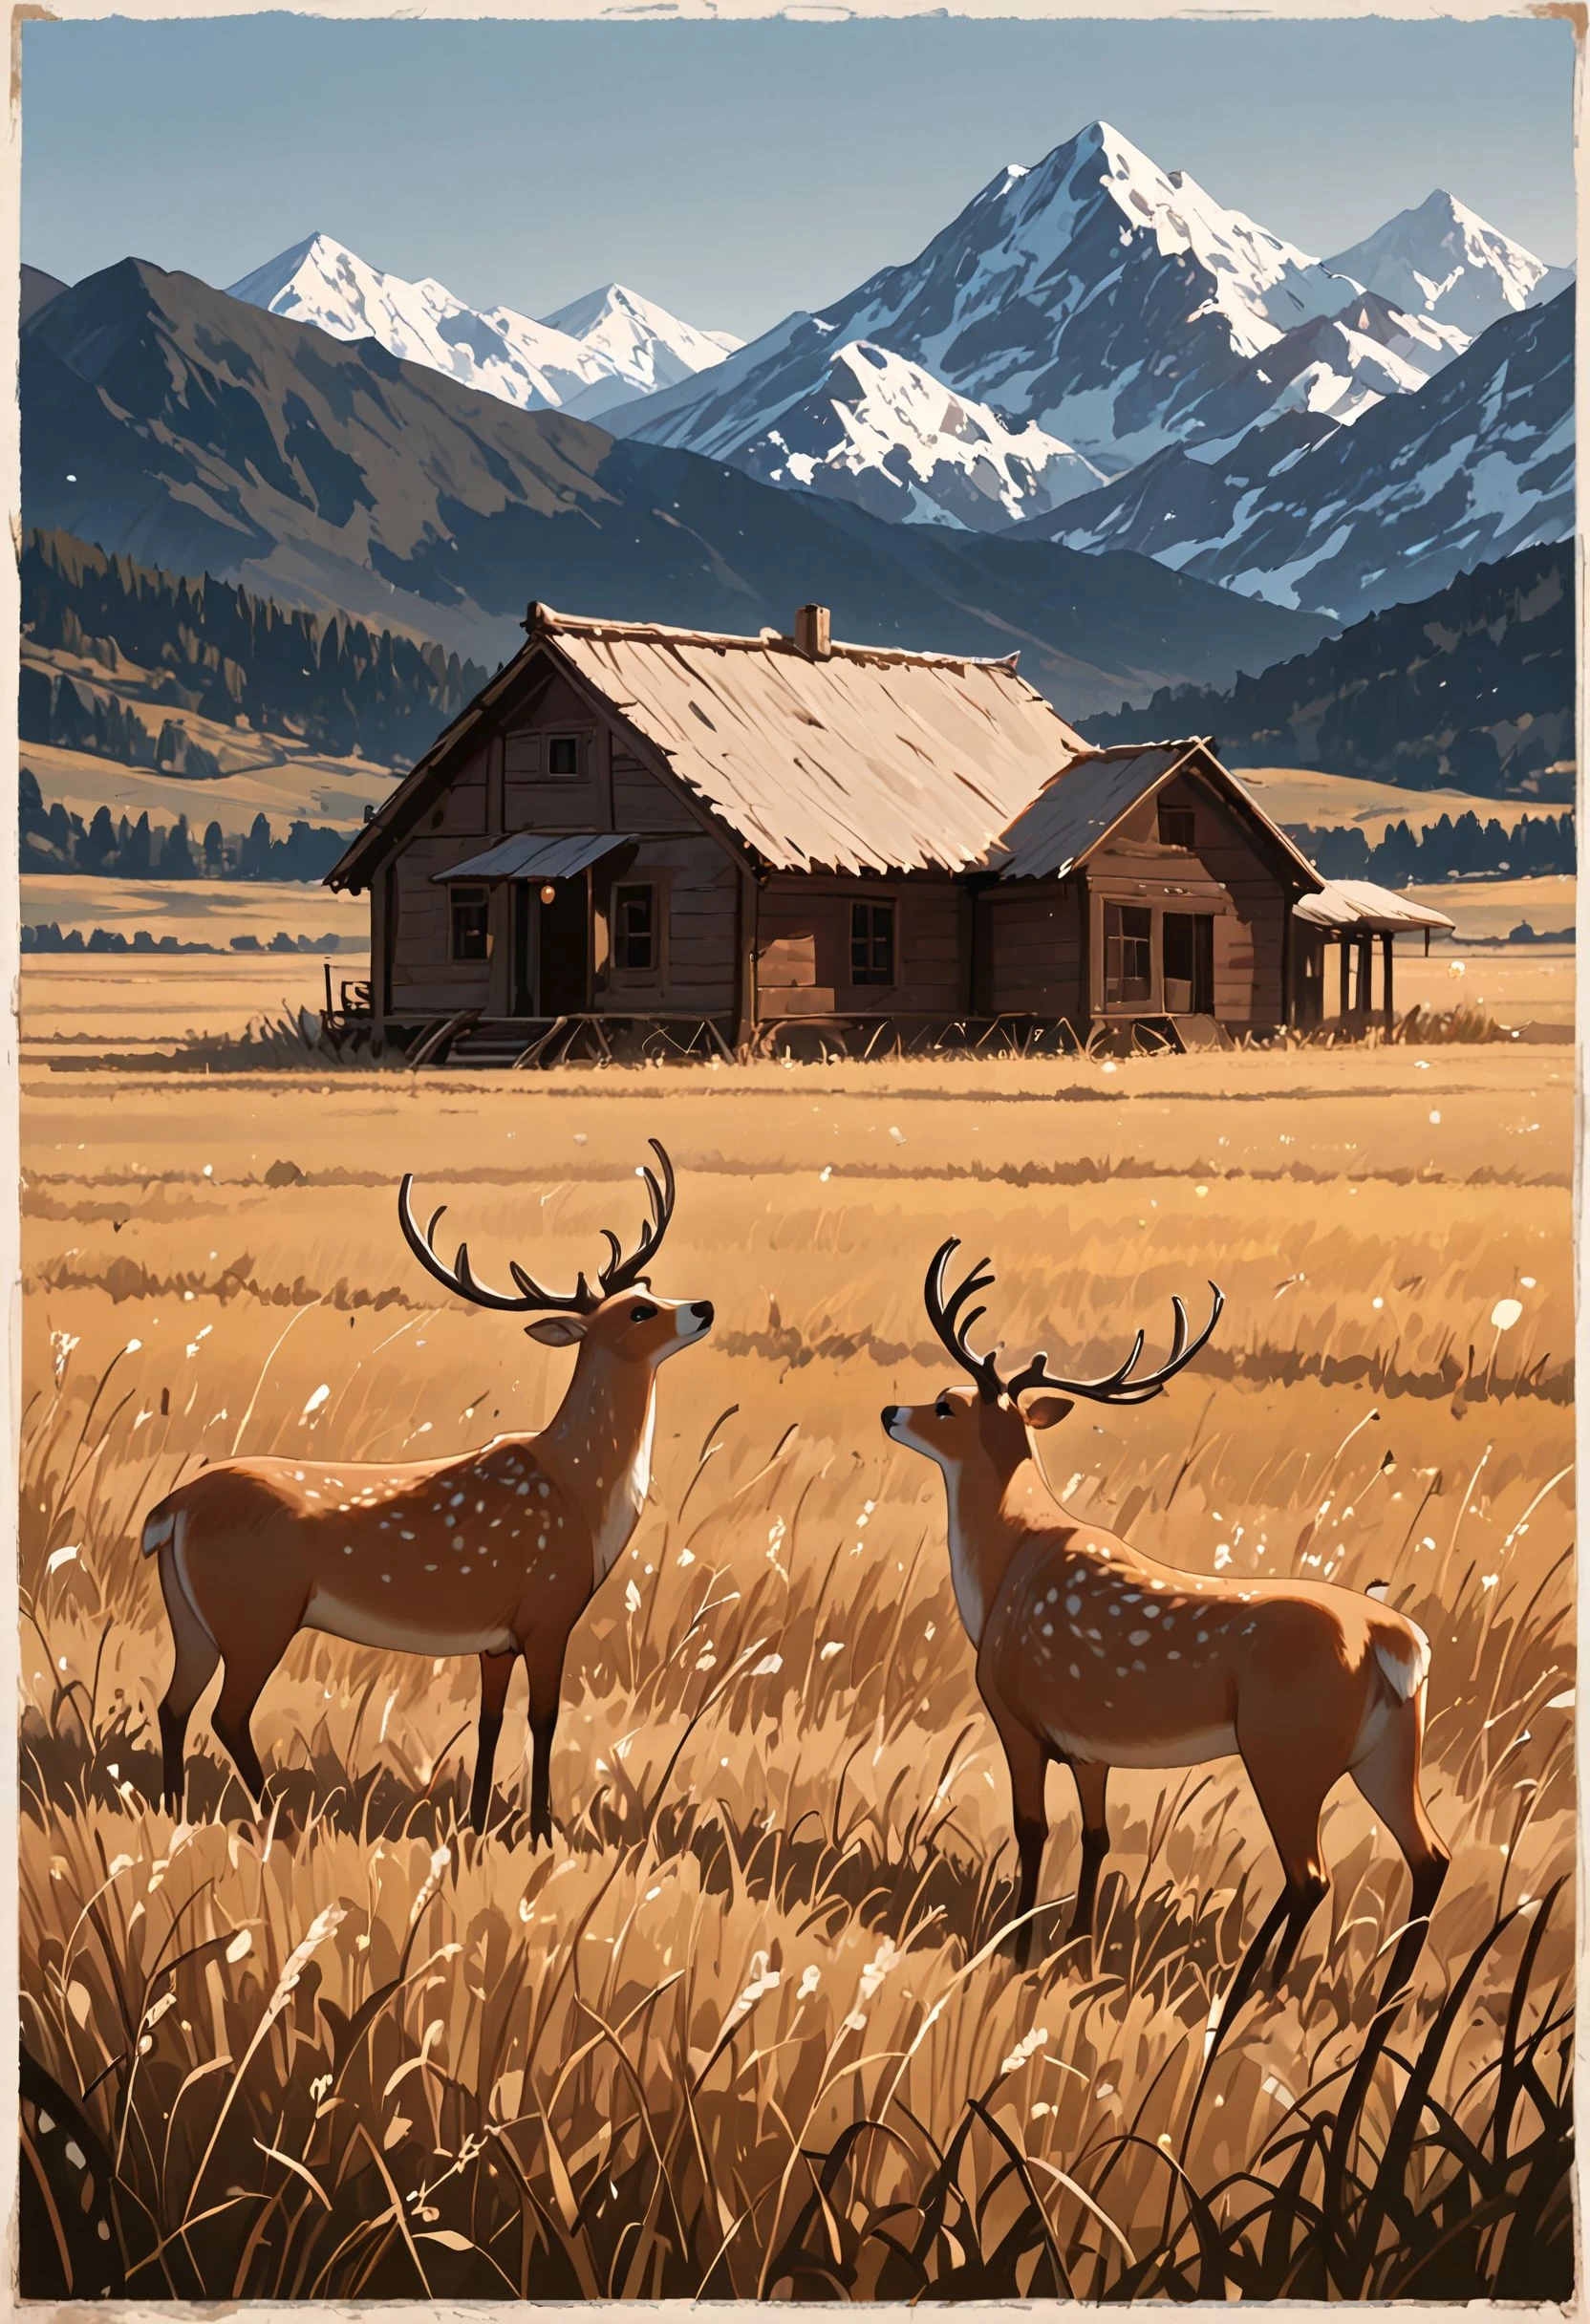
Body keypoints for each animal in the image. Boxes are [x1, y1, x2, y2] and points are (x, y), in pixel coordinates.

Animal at [141, 1140, 712, 1844]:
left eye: (646, 1288)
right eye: (638, 1312)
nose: (704, 1308)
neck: (580, 1491)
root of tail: (169, 1511)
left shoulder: (498, 1637)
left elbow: (490, 1721)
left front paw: (477, 1826)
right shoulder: (548, 1611)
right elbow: (543, 1720)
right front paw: (542, 1834)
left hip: (193, 1616)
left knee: (173, 1705)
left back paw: (174, 1814)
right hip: (257, 1613)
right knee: (226, 1713)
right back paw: (279, 1818)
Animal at [881, 1237, 1449, 2024]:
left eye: (947, 1403)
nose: (889, 1412)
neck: (1001, 1572)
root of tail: (1399, 1644)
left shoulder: (1016, 1715)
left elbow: (1033, 1831)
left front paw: (1016, 1950)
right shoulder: (1088, 1744)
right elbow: (1095, 1838)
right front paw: (1075, 1944)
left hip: (1286, 1747)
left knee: (1311, 1873)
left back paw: (1249, 1989)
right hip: (1389, 1747)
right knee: (1429, 1857)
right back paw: (1368, 2004)